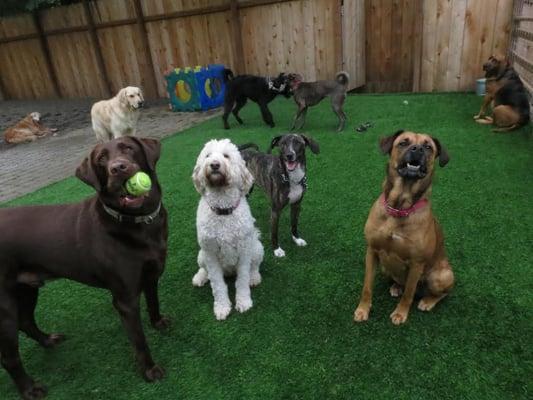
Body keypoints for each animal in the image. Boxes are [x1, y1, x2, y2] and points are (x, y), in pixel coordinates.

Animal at [0, 137, 166, 396]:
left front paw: (158, 323)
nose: (118, 168)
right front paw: (149, 371)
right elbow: (139, 340)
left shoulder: (151, 275)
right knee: (9, 357)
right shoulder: (125, 300)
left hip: (27, 287)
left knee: (26, 321)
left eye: (128, 148)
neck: (139, 222)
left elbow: (154, 301)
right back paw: (30, 389)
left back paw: (48, 341)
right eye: (101, 159)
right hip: (5, 306)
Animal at [192, 139, 264, 320]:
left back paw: (254, 277)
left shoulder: (244, 251)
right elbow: (217, 284)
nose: (214, 165)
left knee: (255, 266)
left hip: (257, 248)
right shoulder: (210, 254)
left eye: (226, 156)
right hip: (201, 255)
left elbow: (242, 279)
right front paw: (222, 307)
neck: (223, 208)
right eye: (207, 155)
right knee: (204, 269)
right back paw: (200, 277)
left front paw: (244, 302)